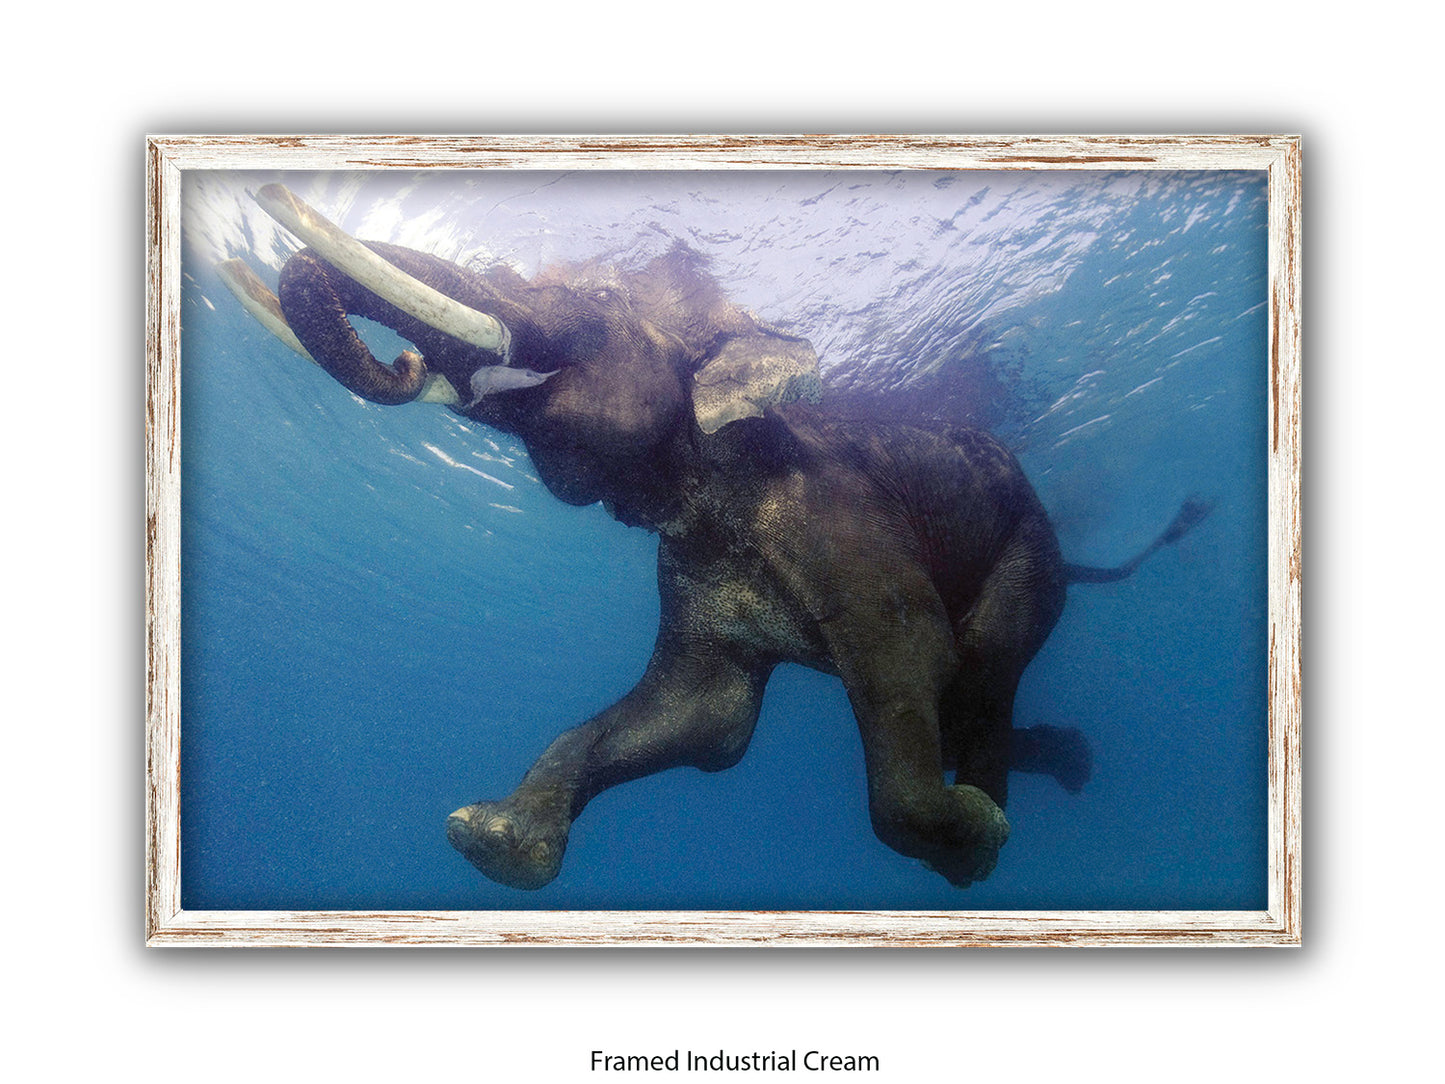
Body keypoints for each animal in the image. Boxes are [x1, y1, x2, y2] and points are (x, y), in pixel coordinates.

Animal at [224, 185, 1209, 891]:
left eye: (596, 302)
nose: (407, 360)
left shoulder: (842, 519)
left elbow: (911, 656)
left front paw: (967, 834)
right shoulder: (688, 569)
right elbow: (704, 718)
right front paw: (487, 838)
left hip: (1027, 554)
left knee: (980, 666)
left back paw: (989, 826)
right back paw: (1054, 767)